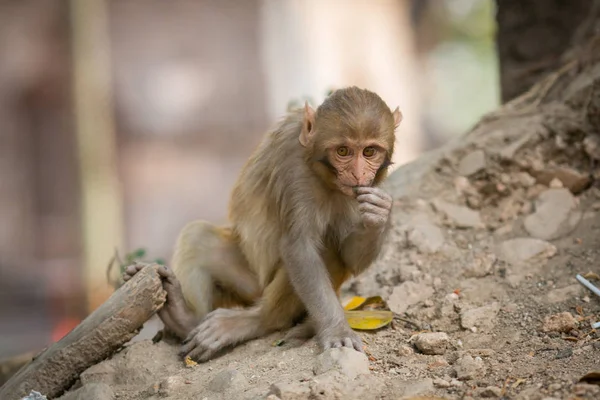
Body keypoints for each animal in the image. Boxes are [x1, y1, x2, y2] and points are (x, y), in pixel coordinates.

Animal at [123, 86, 400, 362]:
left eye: (369, 152)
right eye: (343, 151)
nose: (357, 174)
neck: (325, 176)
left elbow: (348, 256)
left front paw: (379, 214)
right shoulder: (293, 161)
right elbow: (299, 247)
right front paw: (337, 330)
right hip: (249, 285)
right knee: (197, 237)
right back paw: (201, 319)